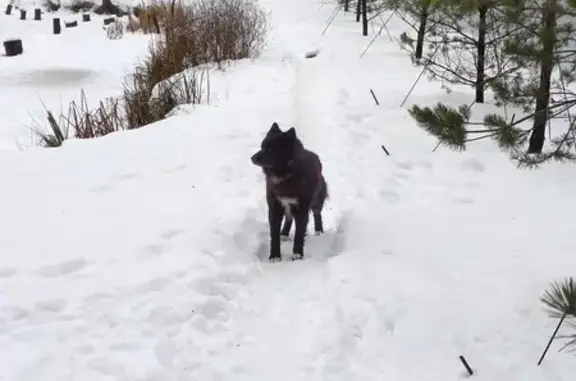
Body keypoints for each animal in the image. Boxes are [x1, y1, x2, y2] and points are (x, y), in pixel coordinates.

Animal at [250, 121, 326, 262]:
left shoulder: (301, 208)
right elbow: (274, 234)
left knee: (317, 214)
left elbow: (299, 233)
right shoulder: (275, 206)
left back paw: (319, 231)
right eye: (262, 146)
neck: (285, 176)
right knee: (289, 218)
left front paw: (297, 254)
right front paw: (275, 256)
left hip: (316, 200)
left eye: (270, 149)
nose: (252, 158)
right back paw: (284, 233)